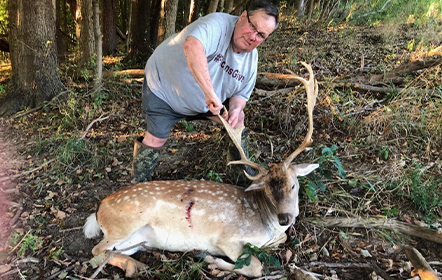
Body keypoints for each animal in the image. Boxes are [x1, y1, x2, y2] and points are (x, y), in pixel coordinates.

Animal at [83, 61, 318, 278]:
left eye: (294, 185)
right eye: (268, 189)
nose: (285, 218)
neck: (264, 223)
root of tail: (99, 208)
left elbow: (283, 238)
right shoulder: (228, 237)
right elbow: (255, 266)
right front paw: (211, 260)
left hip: (134, 238)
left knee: (112, 250)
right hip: (124, 224)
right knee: (96, 250)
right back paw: (135, 266)